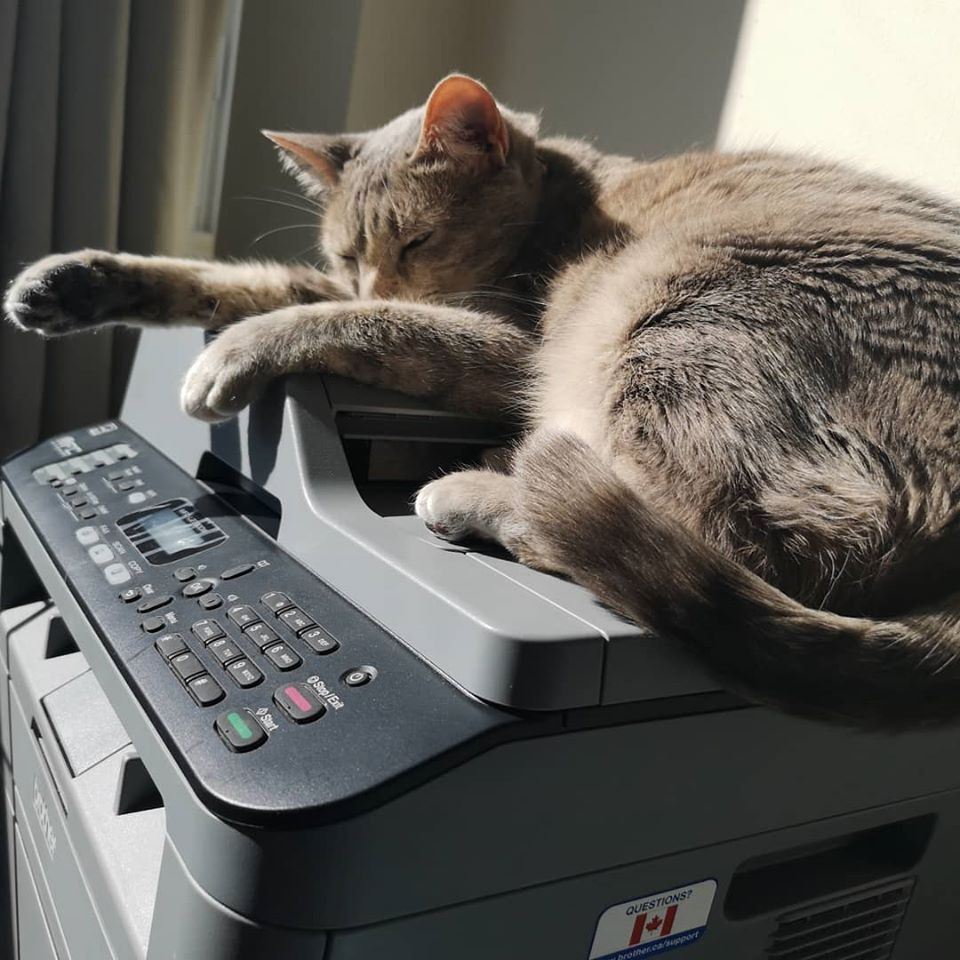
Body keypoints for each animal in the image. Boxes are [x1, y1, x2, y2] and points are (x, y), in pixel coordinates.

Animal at [7, 74, 960, 729]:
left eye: (417, 241)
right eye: (348, 251)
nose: (377, 276)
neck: (564, 199)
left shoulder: (510, 347)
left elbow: (349, 320)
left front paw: (232, 355)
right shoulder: (332, 285)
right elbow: (244, 282)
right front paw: (69, 284)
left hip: (678, 326)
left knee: (739, 543)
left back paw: (477, 487)